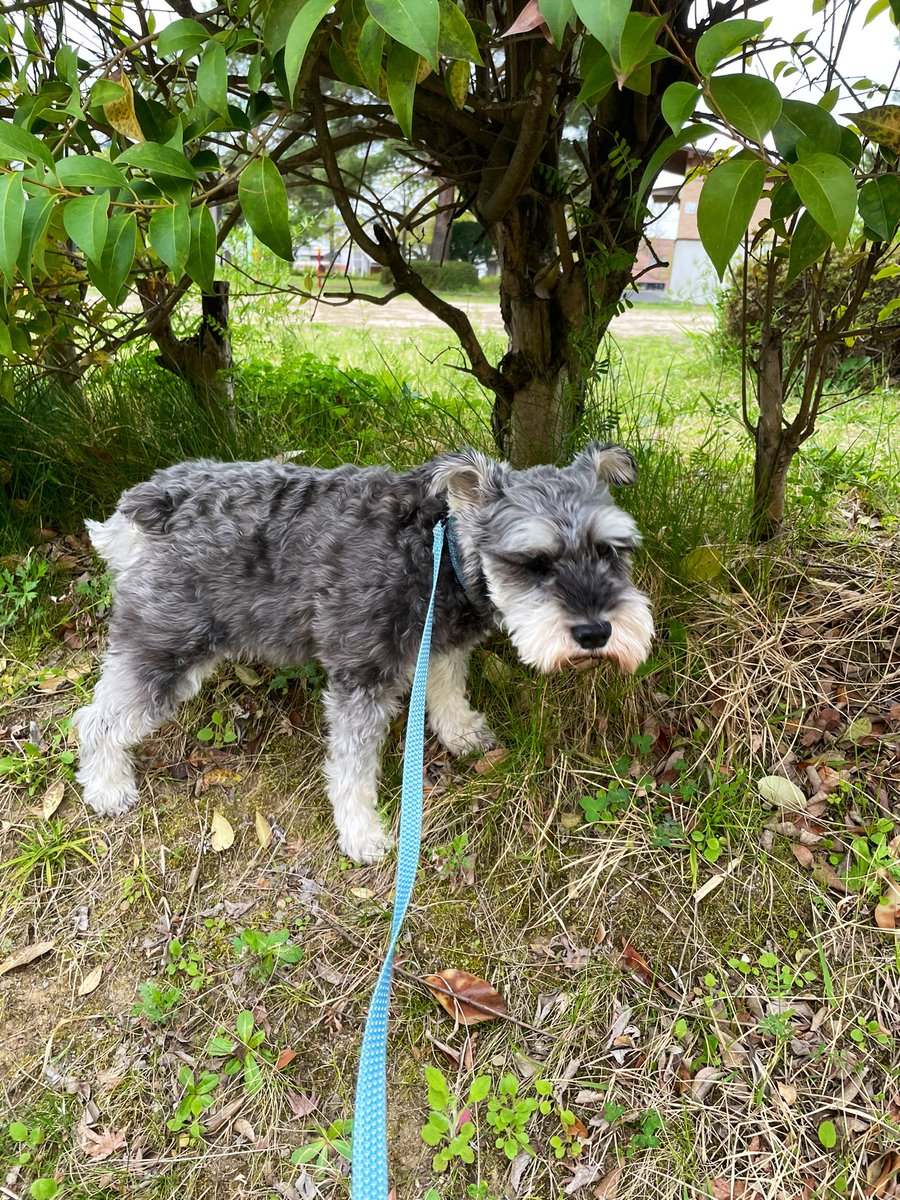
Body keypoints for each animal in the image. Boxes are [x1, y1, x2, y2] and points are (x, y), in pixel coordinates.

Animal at [75, 446, 657, 859]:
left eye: (611, 550)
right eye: (534, 562)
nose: (596, 633)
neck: (438, 551)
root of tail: (152, 501)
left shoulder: (440, 644)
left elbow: (447, 690)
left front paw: (462, 733)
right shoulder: (362, 676)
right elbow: (352, 767)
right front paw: (361, 833)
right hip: (167, 643)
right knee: (96, 719)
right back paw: (107, 787)